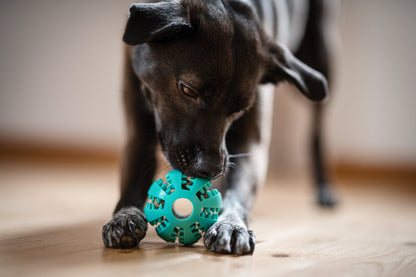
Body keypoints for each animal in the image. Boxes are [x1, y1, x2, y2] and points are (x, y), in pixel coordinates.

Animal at [102, 0, 336, 254]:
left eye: (240, 109)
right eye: (188, 90)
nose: (211, 169)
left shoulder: (249, 143)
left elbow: (238, 187)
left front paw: (231, 223)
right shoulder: (138, 129)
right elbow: (132, 180)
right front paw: (124, 217)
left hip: (321, 62)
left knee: (316, 132)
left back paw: (324, 190)